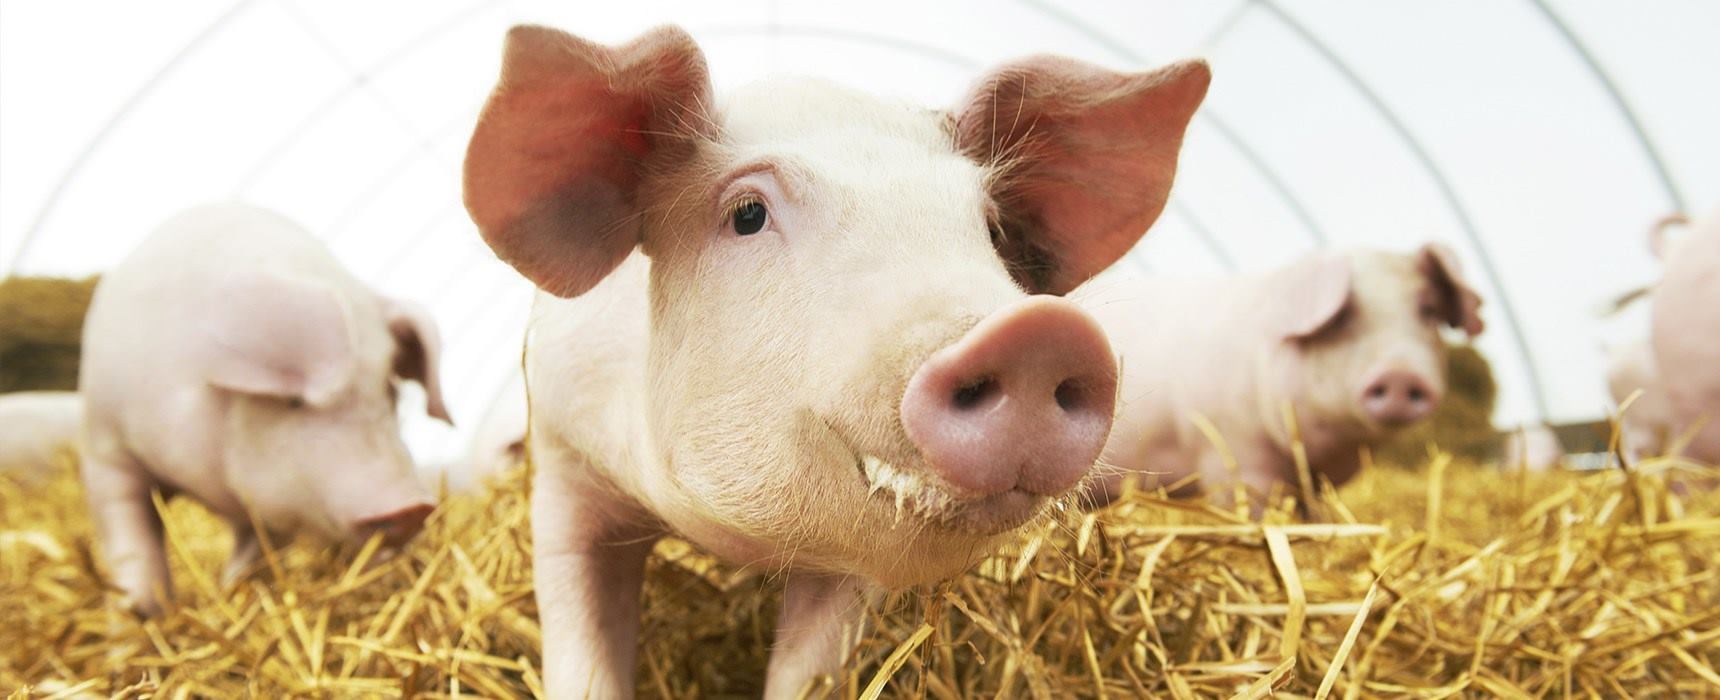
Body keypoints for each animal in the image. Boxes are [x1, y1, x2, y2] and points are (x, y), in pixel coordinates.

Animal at [78, 203, 451, 616]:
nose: (411, 508)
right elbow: (131, 538)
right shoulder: (106, 448)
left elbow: (256, 550)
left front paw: (234, 591)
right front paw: (139, 614)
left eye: (389, 390)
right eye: (294, 401)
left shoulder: (272, 505)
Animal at [461, 25, 1209, 698]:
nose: (1038, 333)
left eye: (992, 230)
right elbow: (580, 648)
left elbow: (810, 671)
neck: (734, 538)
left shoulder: (852, 566)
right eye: (748, 214)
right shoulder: (563, 459)